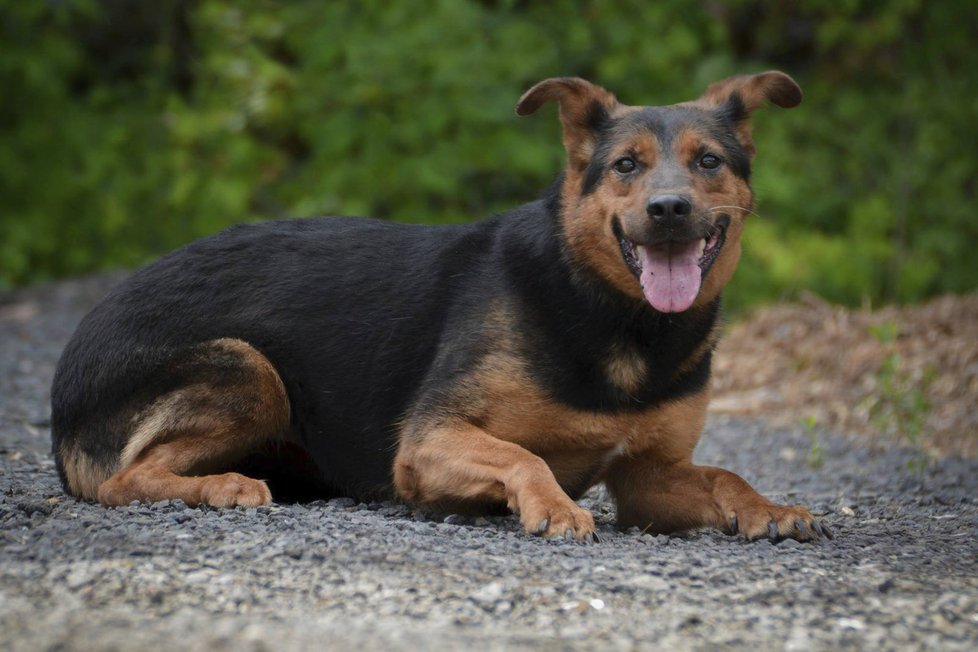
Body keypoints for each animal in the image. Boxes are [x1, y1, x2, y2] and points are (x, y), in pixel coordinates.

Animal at [51, 71, 832, 544]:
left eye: (709, 163)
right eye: (625, 166)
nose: (669, 210)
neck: (619, 319)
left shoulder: (648, 478)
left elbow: (725, 475)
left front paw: (769, 509)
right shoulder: (429, 442)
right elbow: (524, 456)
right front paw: (554, 506)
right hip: (250, 370)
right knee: (121, 480)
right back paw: (222, 485)